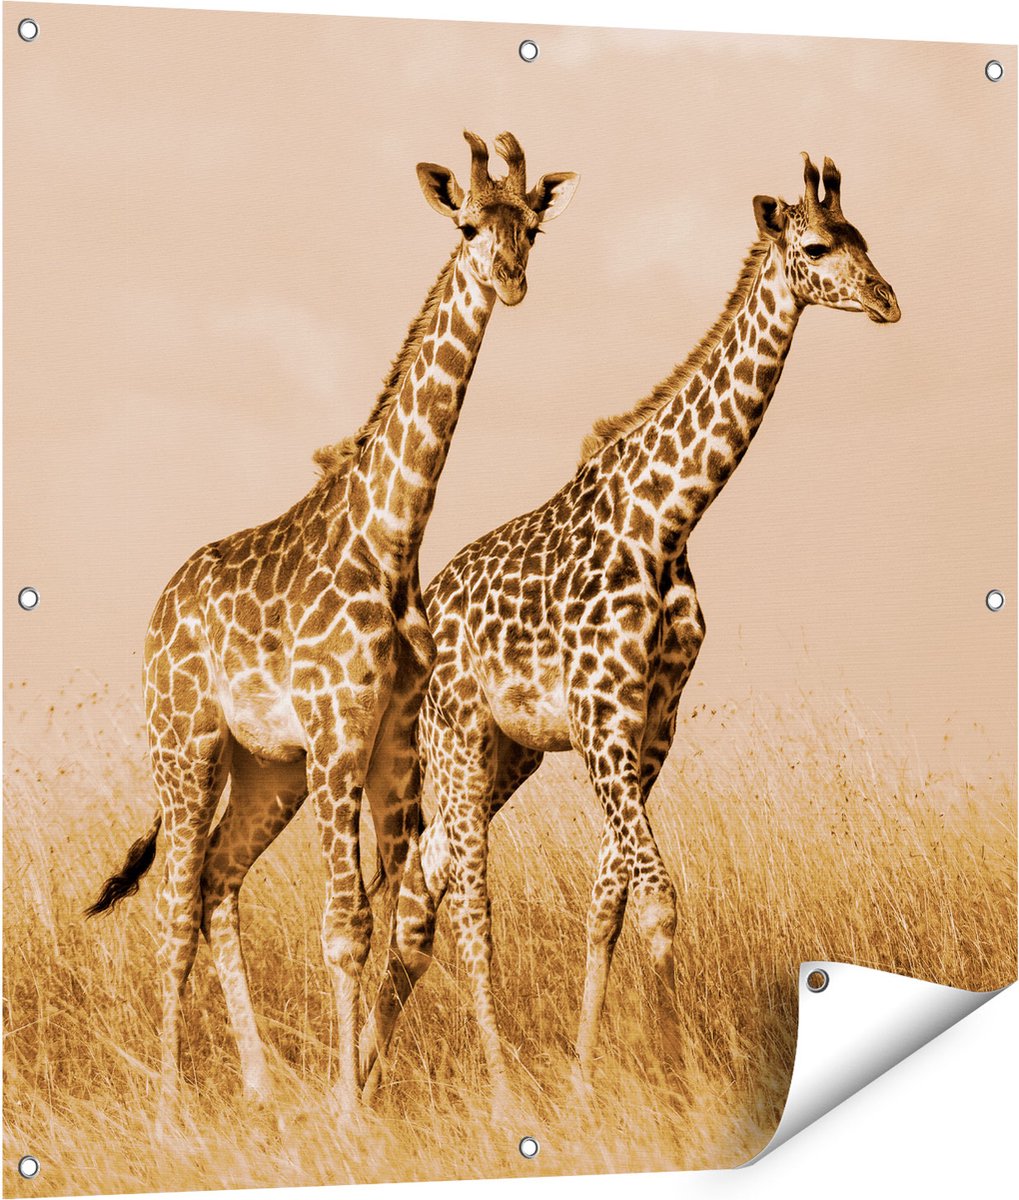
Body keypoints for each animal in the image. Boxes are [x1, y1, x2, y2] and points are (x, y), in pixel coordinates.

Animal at [86, 130, 579, 1124]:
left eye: (532, 227)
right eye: (467, 226)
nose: (510, 280)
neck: (389, 539)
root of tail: (158, 609)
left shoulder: (387, 745)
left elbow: (380, 915)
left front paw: (353, 1090)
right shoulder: (338, 734)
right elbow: (343, 926)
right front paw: (348, 1108)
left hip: (268, 768)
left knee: (217, 882)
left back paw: (258, 1084)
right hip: (184, 743)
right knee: (173, 908)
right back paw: (168, 1107)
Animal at [361, 153, 900, 1105]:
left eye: (863, 237)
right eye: (814, 247)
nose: (885, 299)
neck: (667, 519)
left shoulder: (651, 724)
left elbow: (608, 898)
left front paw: (585, 1079)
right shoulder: (600, 716)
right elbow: (655, 895)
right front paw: (679, 1079)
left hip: (510, 753)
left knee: (425, 887)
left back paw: (358, 1085)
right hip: (456, 739)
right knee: (463, 898)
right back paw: (496, 1090)